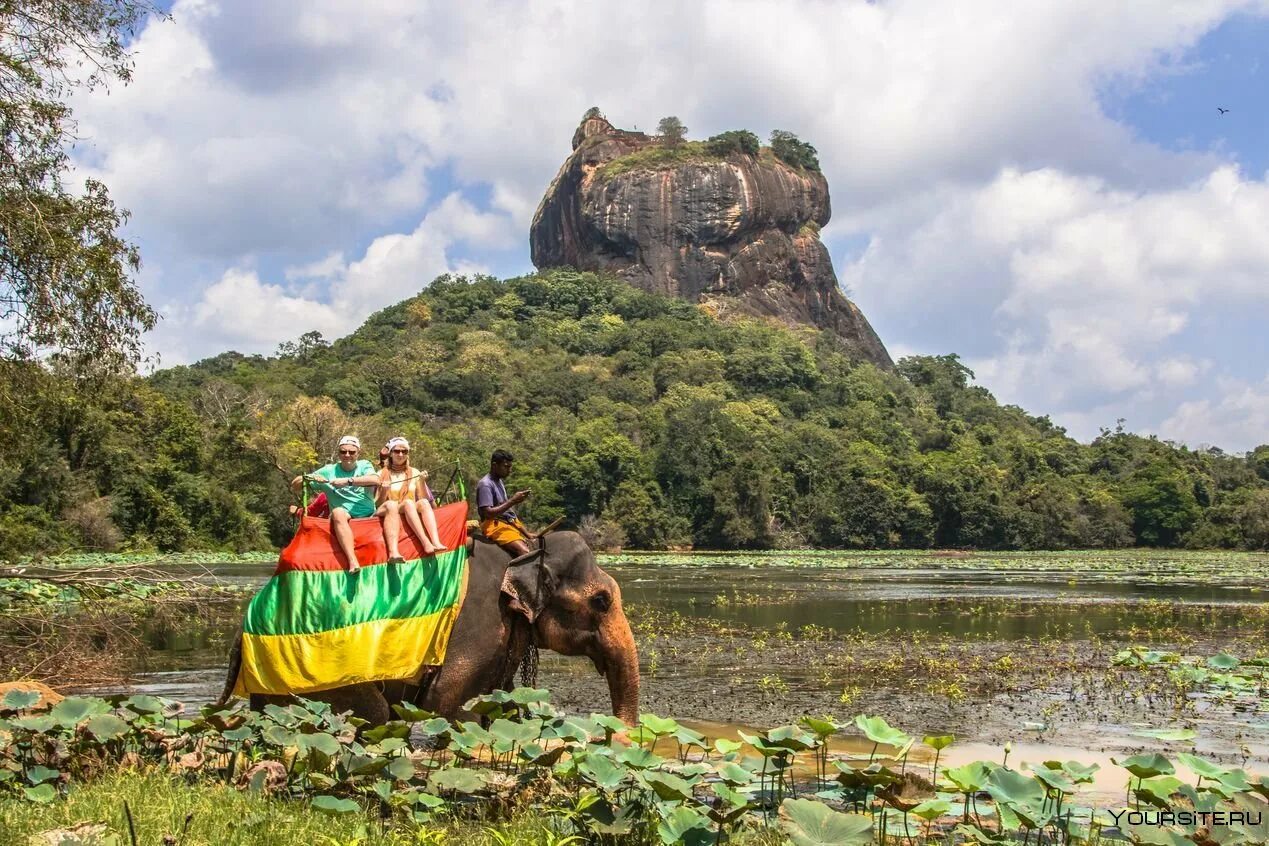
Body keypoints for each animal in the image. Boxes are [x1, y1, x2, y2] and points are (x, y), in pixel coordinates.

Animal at [219, 532, 639, 725]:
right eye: (602, 601)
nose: (616, 733)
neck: (527, 549)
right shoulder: (481, 622)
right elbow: (448, 705)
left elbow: (500, 705)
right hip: (323, 676)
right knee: (372, 717)